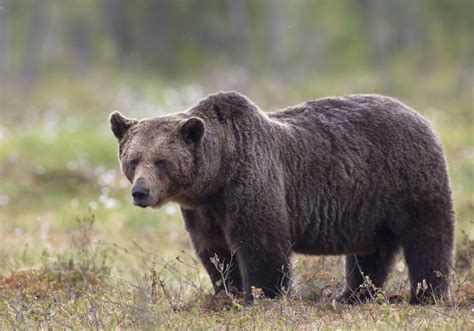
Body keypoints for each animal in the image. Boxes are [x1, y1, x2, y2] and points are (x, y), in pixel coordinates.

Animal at [109, 92, 454, 304]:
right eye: (133, 159)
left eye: (161, 161)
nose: (141, 192)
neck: (218, 174)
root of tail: (421, 116)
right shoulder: (204, 210)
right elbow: (216, 251)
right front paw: (227, 292)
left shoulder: (252, 180)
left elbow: (262, 243)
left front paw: (262, 296)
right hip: (368, 207)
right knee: (371, 252)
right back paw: (352, 295)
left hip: (409, 180)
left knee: (427, 238)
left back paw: (426, 295)